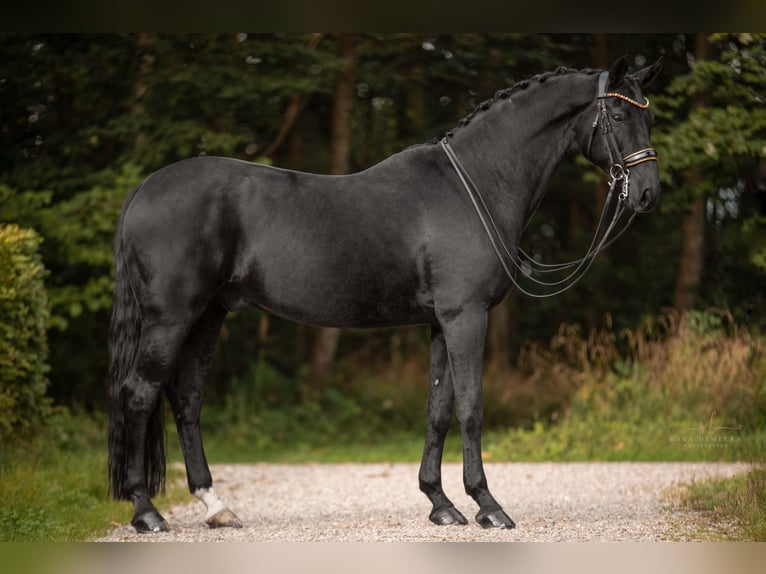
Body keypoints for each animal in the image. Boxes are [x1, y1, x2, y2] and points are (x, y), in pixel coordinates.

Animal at [105, 56, 664, 532]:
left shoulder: (441, 322)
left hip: (209, 315)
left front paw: (440, 504)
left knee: (186, 400)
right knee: (138, 395)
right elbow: (471, 408)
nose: (647, 194)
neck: (476, 184)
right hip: (170, 319)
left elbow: (438, 409)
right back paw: (146, 511)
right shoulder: (466, 317)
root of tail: (142, 190)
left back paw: (216, 506)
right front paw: (487, 505)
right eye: (617, 113)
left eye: (650, 115)